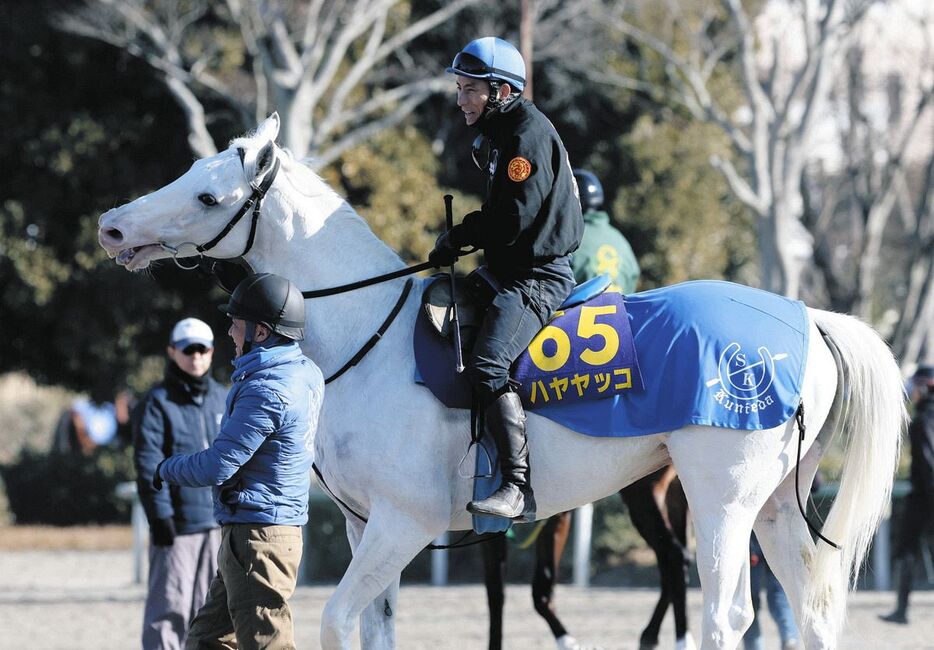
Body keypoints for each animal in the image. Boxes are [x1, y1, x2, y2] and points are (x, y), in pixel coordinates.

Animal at [482, 466, 696, 648]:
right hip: (674, 494)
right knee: (672, 563)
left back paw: (680, 641)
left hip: (643, 494)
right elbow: (512, 592)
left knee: (675, 556)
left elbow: (510, 592)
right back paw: (650, 636)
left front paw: (568, 643)